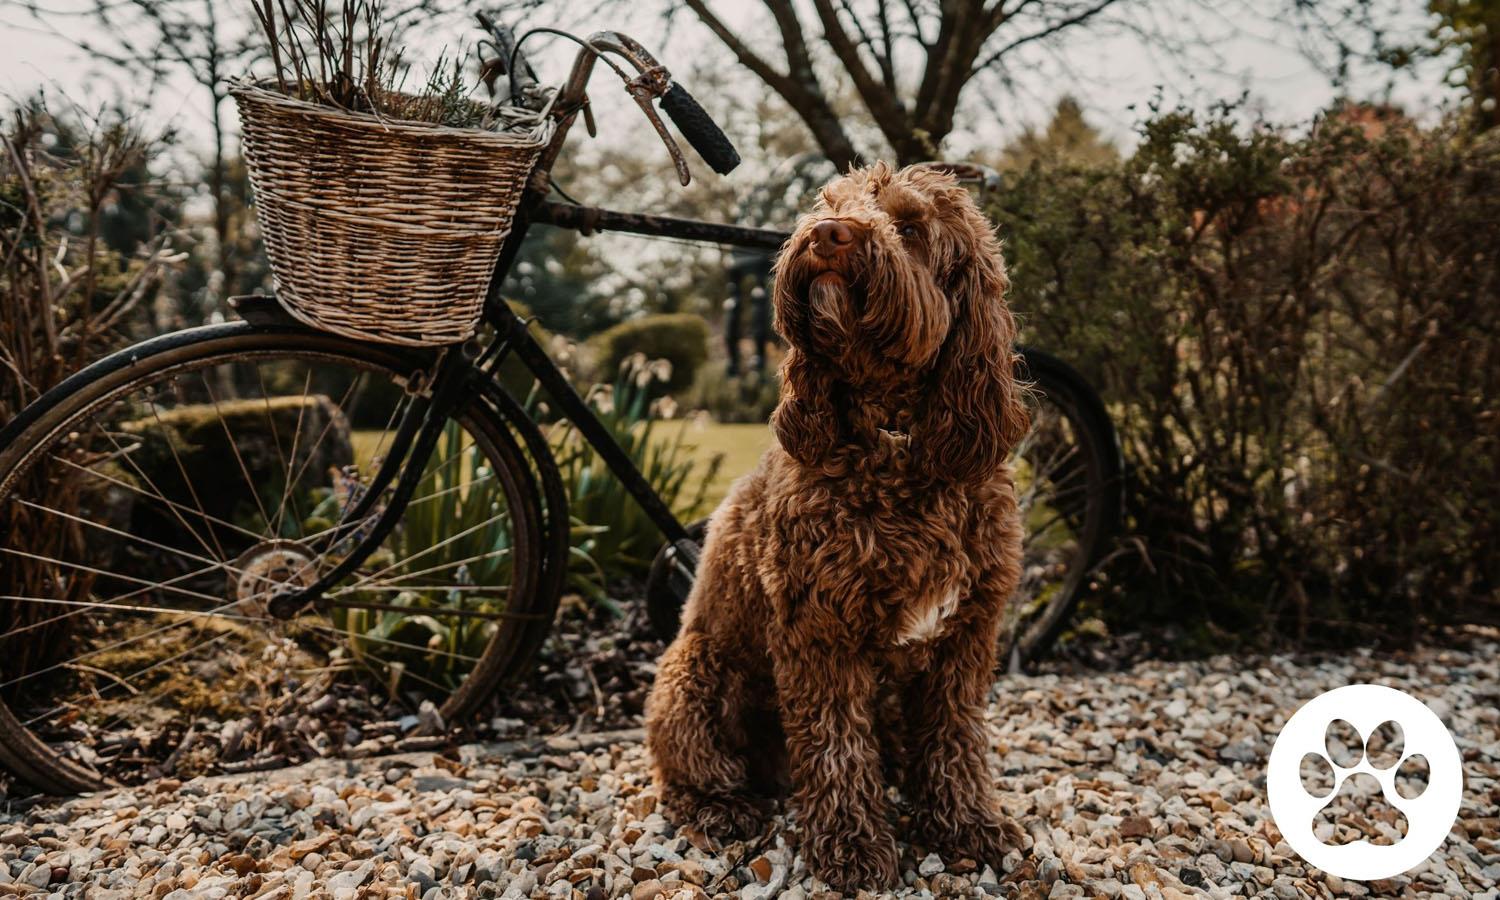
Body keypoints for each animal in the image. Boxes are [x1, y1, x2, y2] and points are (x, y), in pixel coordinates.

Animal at [645, 163, 1032, 894]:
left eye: (909, 225)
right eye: (827, 203)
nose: (828, 234)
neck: (896, 443)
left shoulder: (964, 636)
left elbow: (955, 736)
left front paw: (966, 824)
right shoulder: (820, 633)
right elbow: (835, 747)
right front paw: (852, 849)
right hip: (694, 677)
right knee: (688, 773)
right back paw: (722, 809)